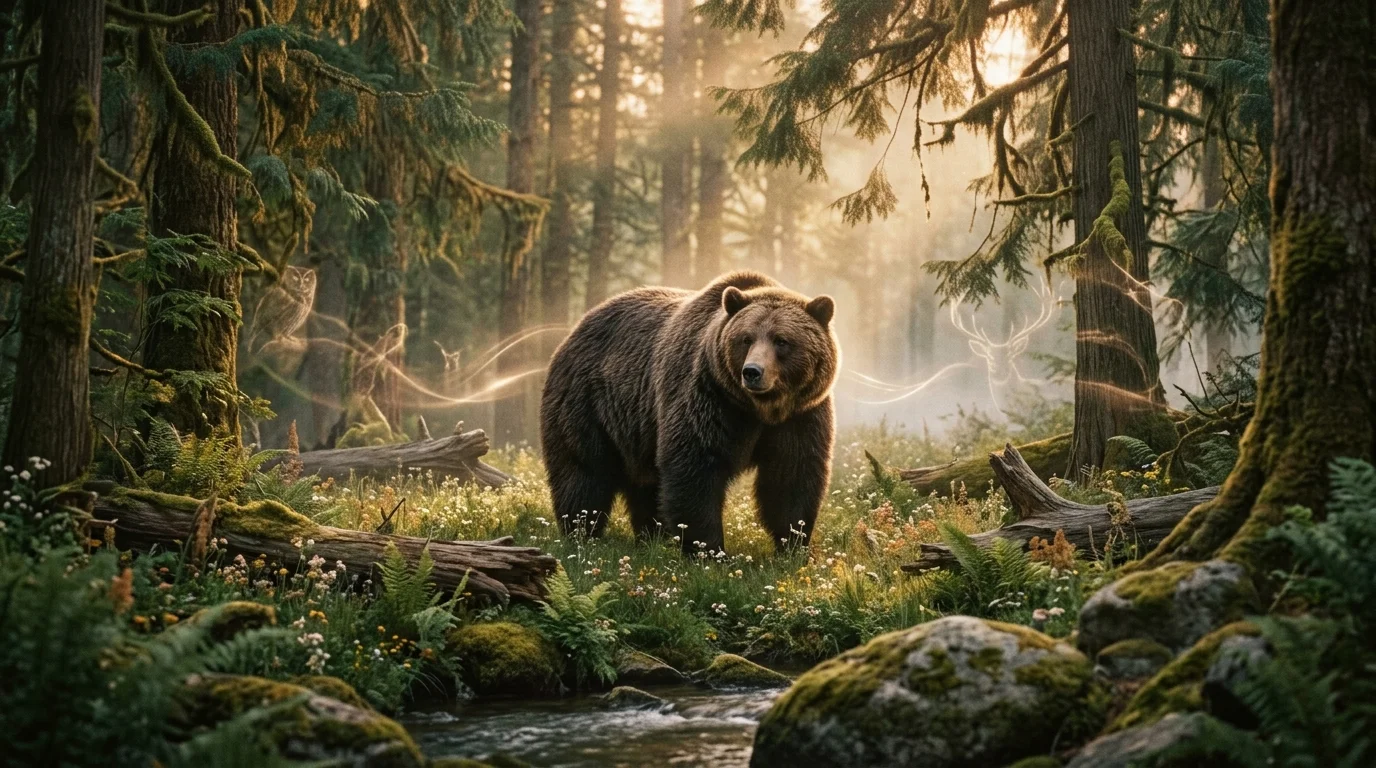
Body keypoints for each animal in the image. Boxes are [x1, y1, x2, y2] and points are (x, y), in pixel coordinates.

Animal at [539, 271, 839, 555]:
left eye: (781, 341)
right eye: (746, 339)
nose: (752, 372)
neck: (760, 409)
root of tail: (576, 327)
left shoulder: (801, 415)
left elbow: (792, 476)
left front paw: (793, 546)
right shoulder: (708, 396)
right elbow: (694, 466)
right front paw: (710, 550)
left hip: (638, 429)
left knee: (647, 485)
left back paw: (651, 536)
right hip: (589, 403)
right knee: (583, 469)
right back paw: (581, 531)